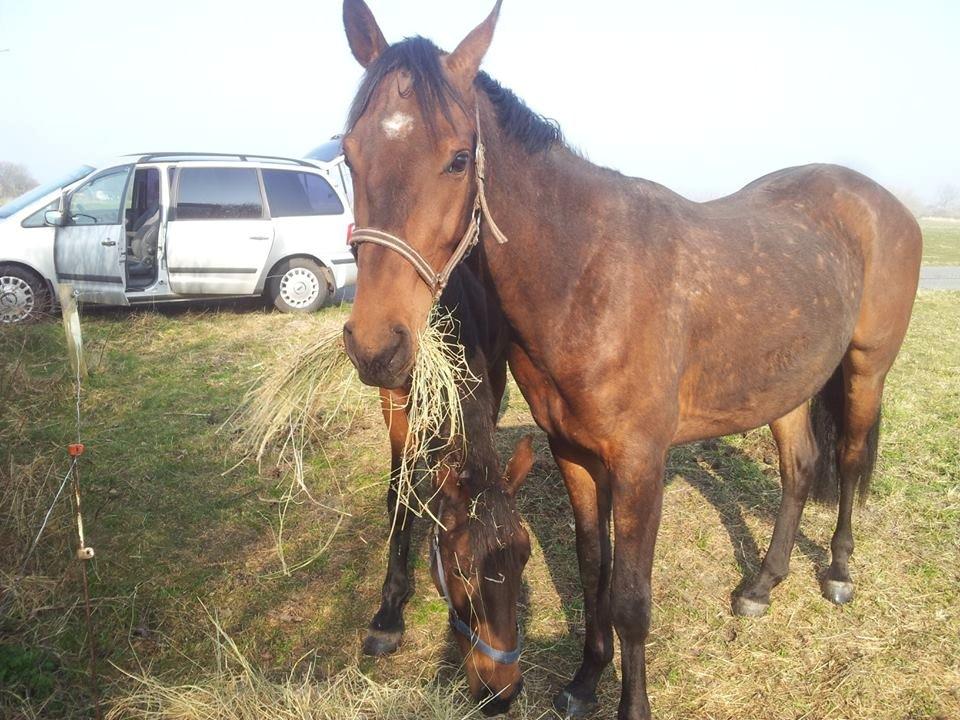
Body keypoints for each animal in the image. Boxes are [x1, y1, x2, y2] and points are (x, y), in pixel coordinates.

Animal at [370, 262, 532, 708]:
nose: (501, 693)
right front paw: (389, 609)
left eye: (525, 558)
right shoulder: (394, 400)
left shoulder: (491, 370)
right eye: (459, 569)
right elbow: (401, 496)